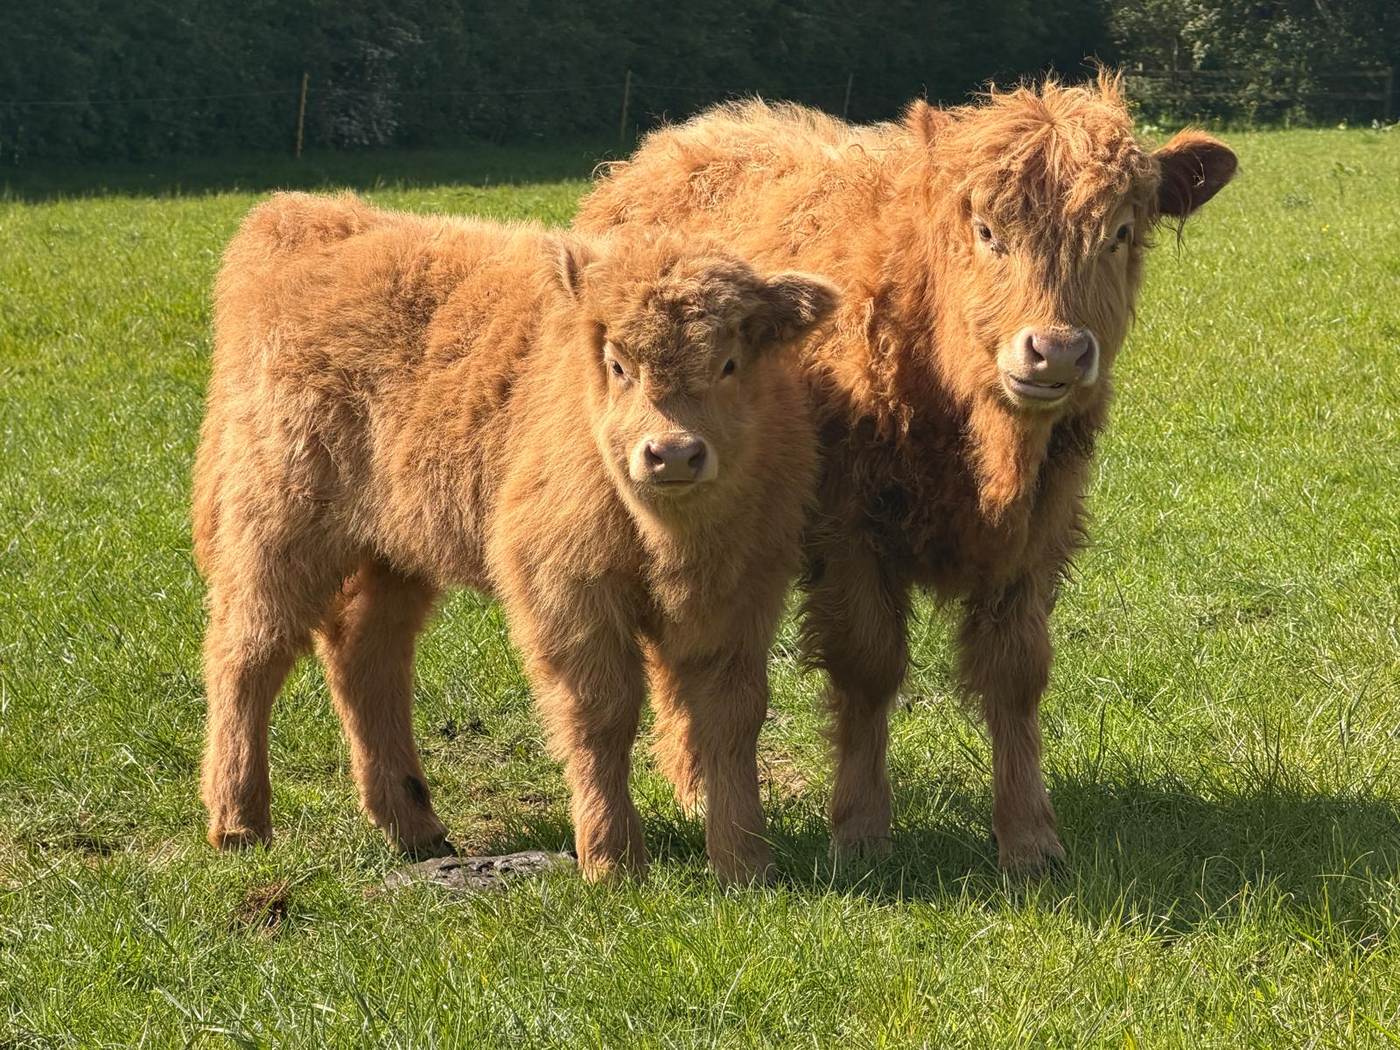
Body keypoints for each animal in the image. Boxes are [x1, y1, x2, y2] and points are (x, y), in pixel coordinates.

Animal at [193, 192, 837, 883]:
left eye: (729, 363)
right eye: (617, 363)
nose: (672, 454)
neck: (671, 539)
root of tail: (304, 220)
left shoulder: (741, 598)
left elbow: (732, 716)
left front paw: (746, 861)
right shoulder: (567, 592)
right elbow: (601, 714)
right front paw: (612, 860)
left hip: (393, 549)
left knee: (365, 654)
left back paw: (414, 827)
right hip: (276, 528)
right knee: (248, 652)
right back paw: (239, 823)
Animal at [575, 74, 1238, 870]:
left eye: (1119, 232)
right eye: (987, 231)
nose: (1056, 351)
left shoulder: (1039, 535)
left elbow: (1016, 675)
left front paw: (1028, 837)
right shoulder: (848, 532)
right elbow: (868, 666)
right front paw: (861, 829)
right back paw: (698, 785)